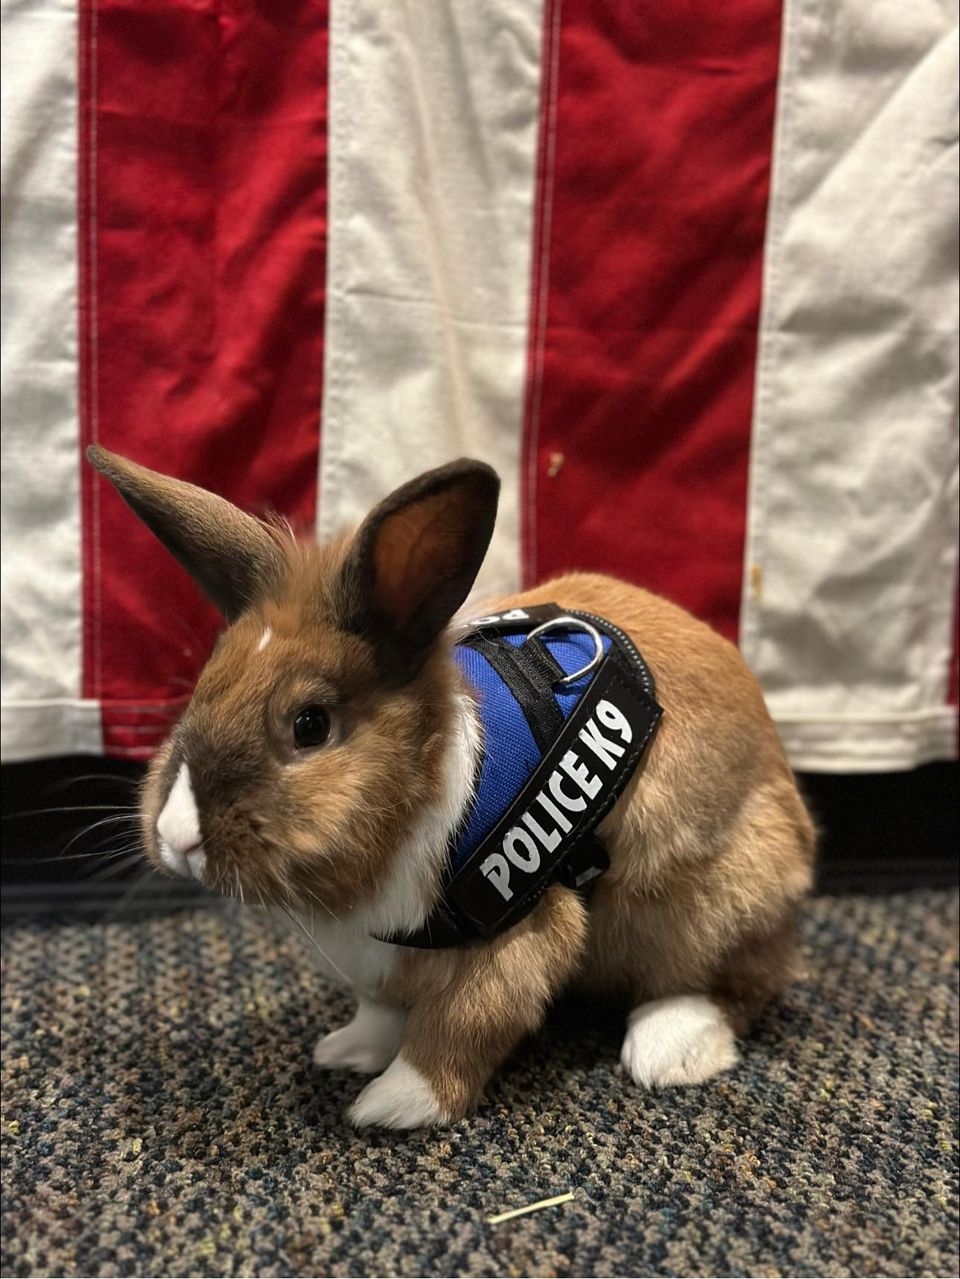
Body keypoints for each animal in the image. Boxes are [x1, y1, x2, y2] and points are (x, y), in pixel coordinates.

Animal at [86, 447, 812, 1130]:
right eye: (202, 690)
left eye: (309, 725)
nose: (177, 836)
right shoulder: (379, 958)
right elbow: (381, 1011)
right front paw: (347, 1050)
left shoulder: (517, 936)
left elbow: (461, 1025)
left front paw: (393, 1102)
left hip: (707, 901)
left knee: (733, 981)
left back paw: (668, 1050)